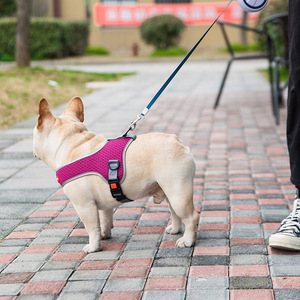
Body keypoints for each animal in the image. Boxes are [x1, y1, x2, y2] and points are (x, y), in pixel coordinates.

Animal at [33, 97, 199, 252]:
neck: (70, 143)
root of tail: (178, 142)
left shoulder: (84, 205)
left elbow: (91, 227)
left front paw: (93, 247)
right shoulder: (103, 203)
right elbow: (104, 220)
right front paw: (104, 235)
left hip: (178, 193)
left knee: (191, 217)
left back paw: (187, 241)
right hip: (170, 192)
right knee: (175, 213)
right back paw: (175, 230)